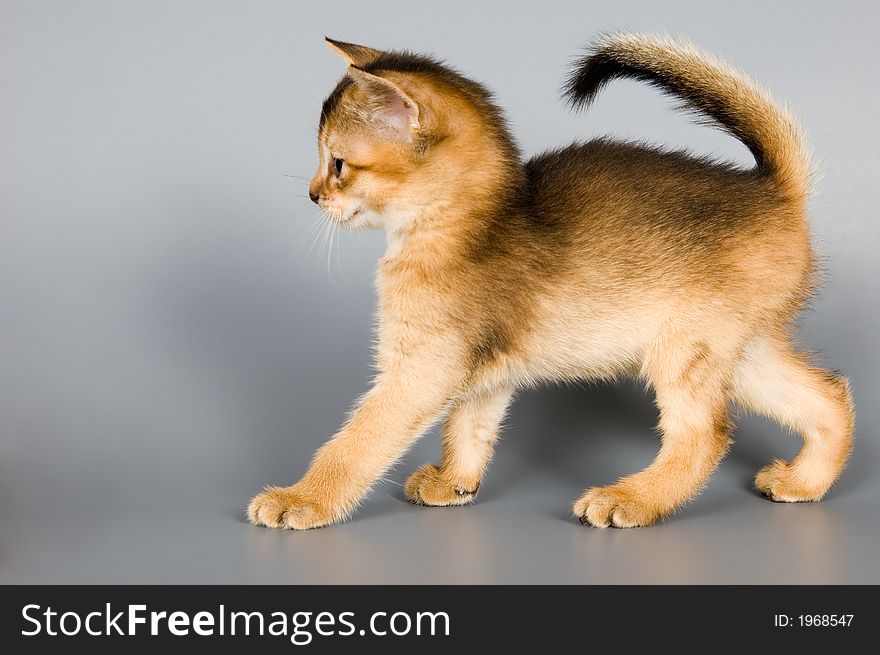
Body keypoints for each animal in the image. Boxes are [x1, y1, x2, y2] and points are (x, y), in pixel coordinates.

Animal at [248, 33, 852, 532]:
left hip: (684, 345)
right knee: (830, 395)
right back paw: (805, 481)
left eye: (338, 164)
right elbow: (470, 426)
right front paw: (454, 483)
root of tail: (773, 191)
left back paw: (631, 499)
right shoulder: (482, 368)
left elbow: (356, 441)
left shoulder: (422, 367)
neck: (467, 223)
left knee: (707, 433)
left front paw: (302, 499)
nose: (312, 194)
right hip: (740, 351)